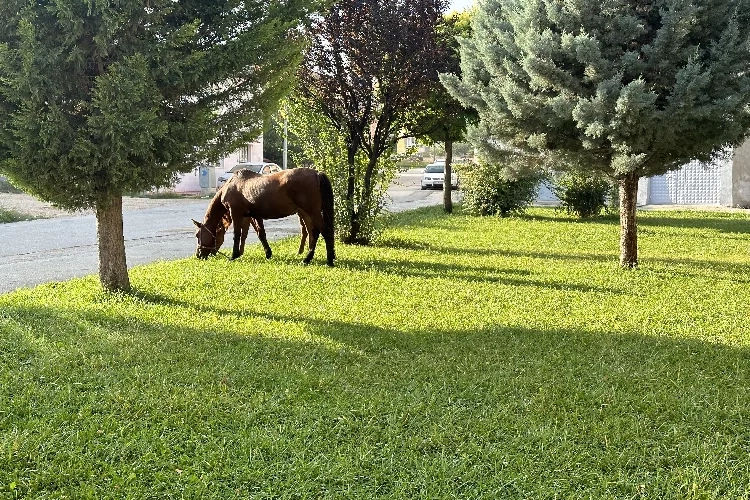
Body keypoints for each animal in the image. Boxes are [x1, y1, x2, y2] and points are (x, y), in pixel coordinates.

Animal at [194, 169, 334, 266]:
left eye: (197, 235)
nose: (198, 255)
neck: (232, 184)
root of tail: (316, 174)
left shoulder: (236, 213)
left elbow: (237, 234)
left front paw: (234, 255)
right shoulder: (255, 215)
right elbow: (261, 234)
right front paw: (268, 253)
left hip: (311, 212)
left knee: (324, 231)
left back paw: (326, 260)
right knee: (315, 232)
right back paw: (310, 258)